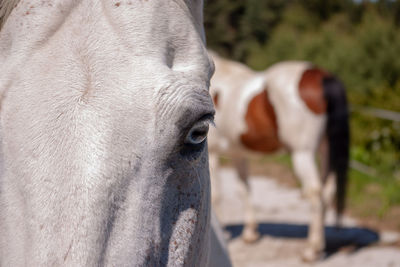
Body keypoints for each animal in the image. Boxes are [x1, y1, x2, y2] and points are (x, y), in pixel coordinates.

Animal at [208, 51, 348, 262]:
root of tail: (322, 76)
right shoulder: (239, 155)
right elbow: (244, 189)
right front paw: (250, 234)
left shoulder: (211, 154)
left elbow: (216, 195)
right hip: (326, 151)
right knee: (327, 192)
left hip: (303, 154)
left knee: (315, 194)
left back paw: (311, 250)